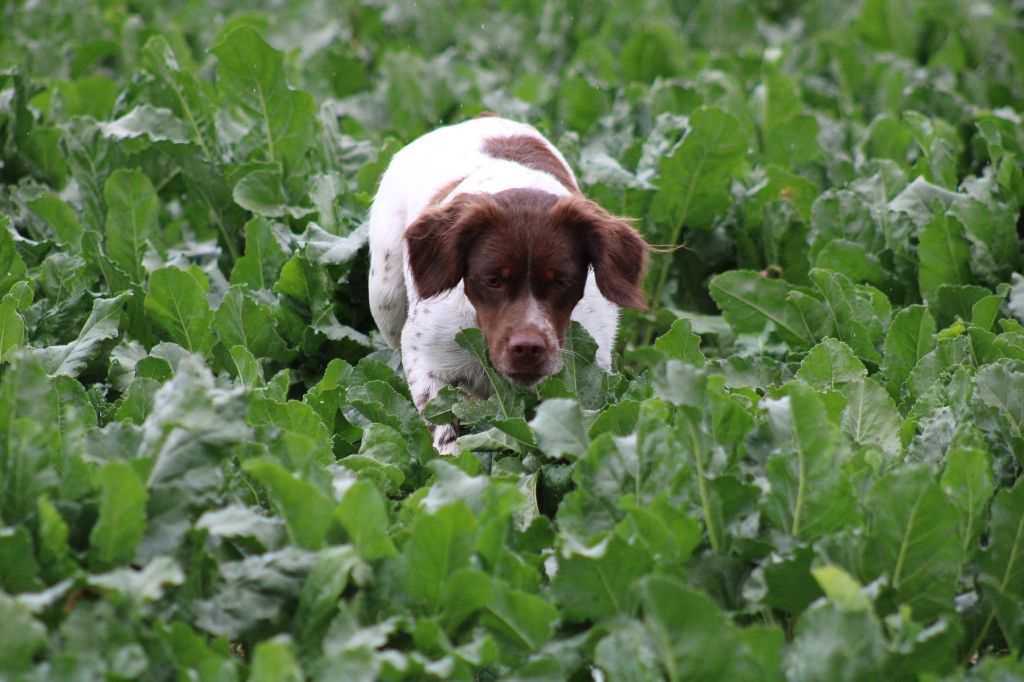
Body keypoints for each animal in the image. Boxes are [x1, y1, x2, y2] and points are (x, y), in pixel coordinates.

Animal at [368, 116, 647, 454]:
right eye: (493, 280)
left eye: (560, 282)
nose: (527, 347)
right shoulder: (426, 357)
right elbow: (445, 430)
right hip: (384, 297)